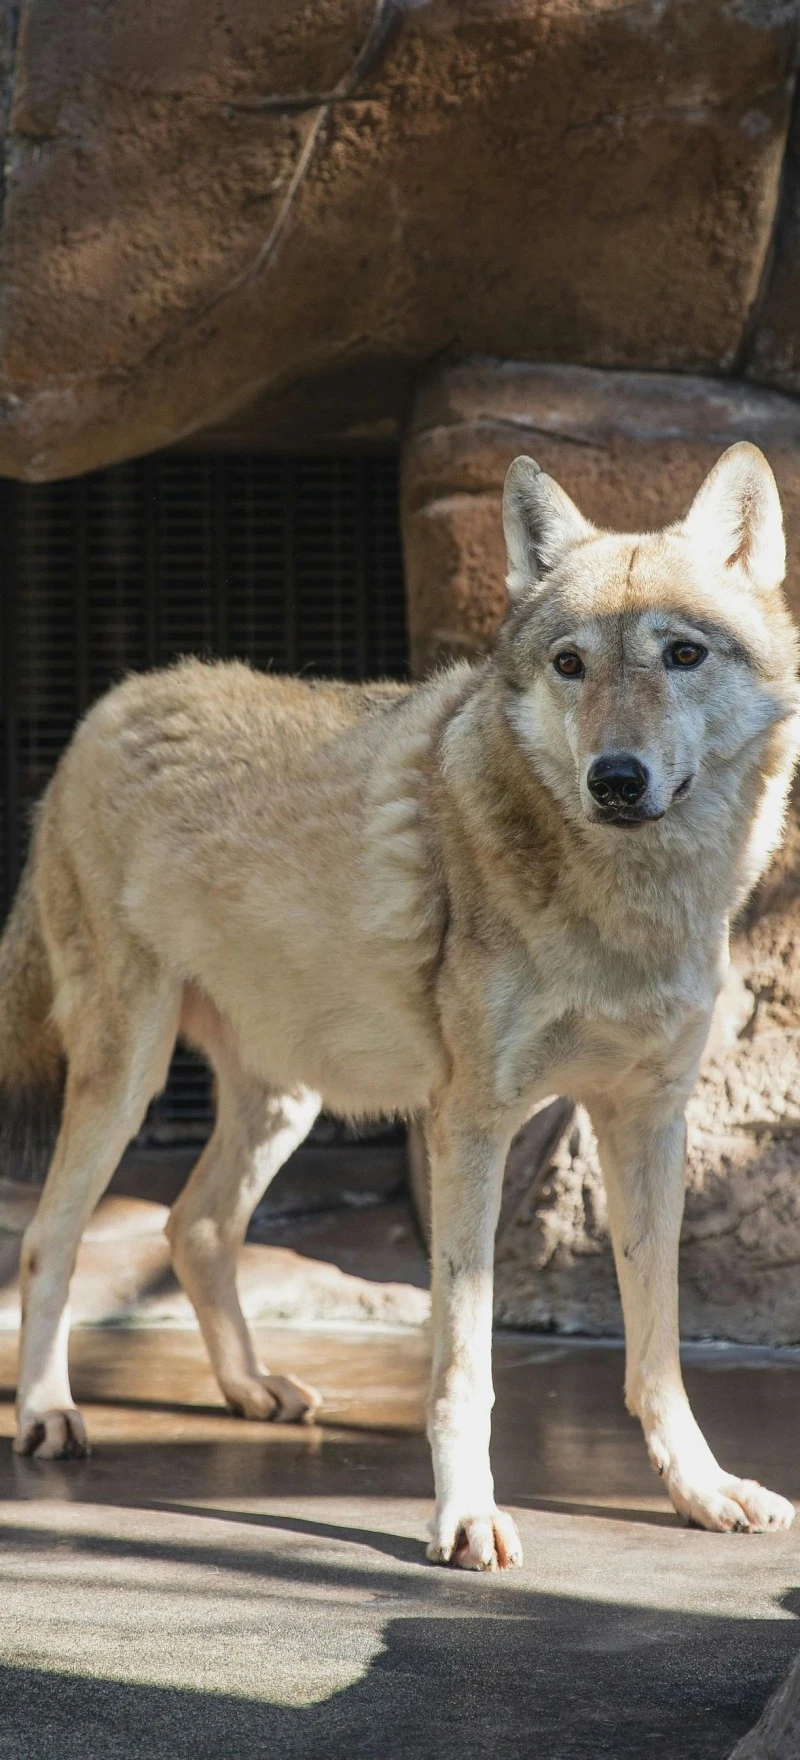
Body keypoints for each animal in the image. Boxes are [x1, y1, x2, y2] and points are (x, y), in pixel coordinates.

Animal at [0, 441, 797, 1568]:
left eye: (681, 654)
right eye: (570, 665)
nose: (614, 778)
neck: (627, 910)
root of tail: (102, 706)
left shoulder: (648, 1121)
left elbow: (659, 1354)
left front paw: (702, 1490)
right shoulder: (469, 1122)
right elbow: (463, 1362)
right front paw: (463, 1516)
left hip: (284, 1098)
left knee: (195, 1225)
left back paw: (251, 1388)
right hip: (129, 1077)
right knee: (49, 1239)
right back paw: (47, 1413)